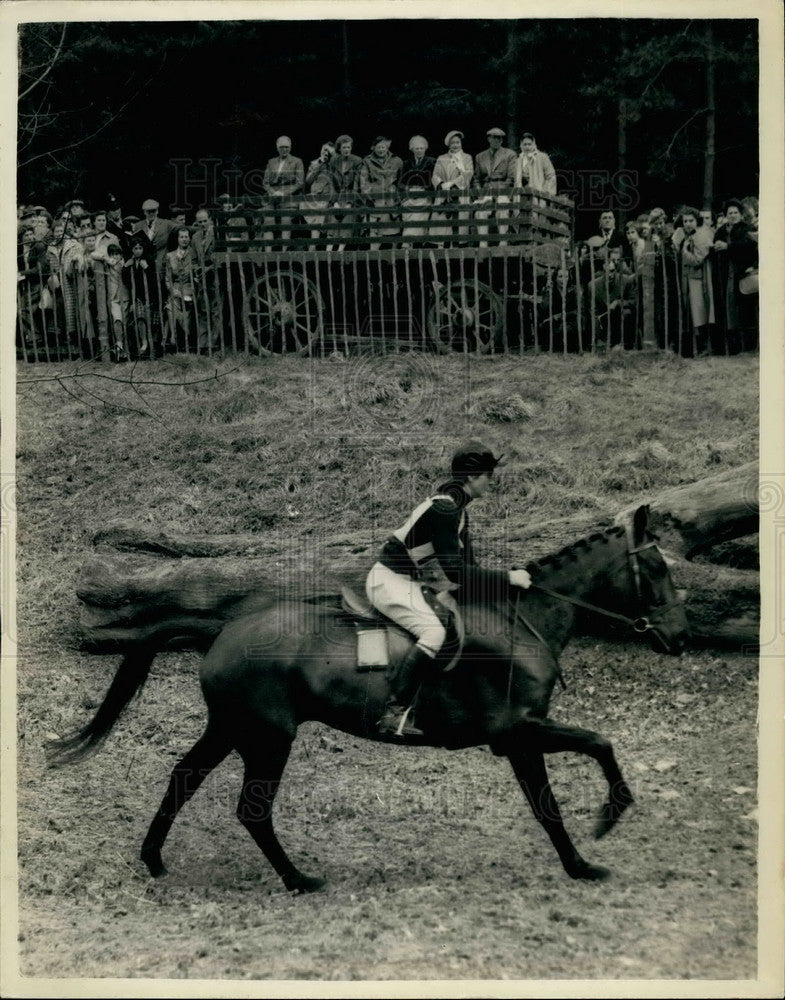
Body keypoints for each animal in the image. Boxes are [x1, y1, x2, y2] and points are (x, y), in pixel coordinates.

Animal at [49, 508, 688, 892]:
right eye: (656, 567)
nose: (679, 638)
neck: (521, 623)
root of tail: (223, 629)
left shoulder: (520, 739)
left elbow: (548, 804)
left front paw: (580, 863)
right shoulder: (517, 732)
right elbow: (597, 748)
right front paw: (608, 819)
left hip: (231, 728)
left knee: (184, 777)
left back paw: (154, 860)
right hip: (268, 737)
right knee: (252, 811)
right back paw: (299, 880)